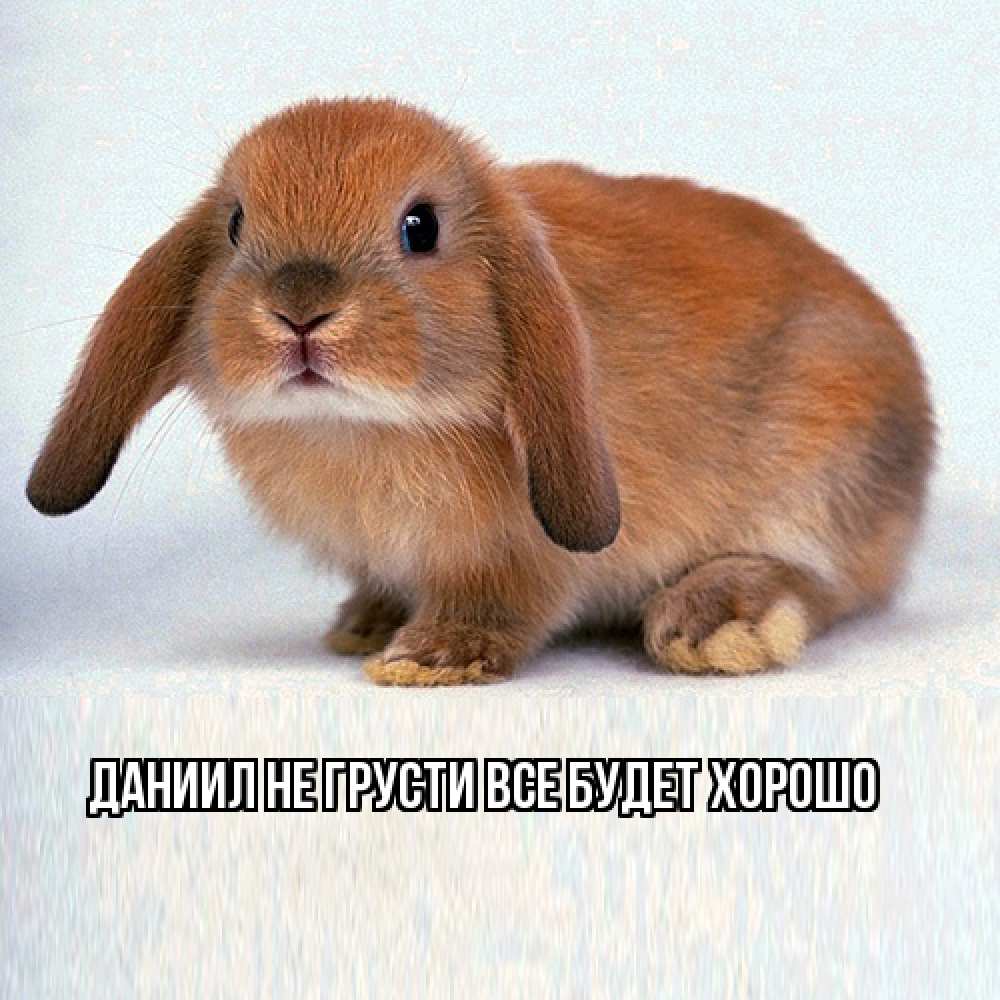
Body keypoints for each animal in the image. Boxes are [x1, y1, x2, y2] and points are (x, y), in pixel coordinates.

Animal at [26, 97, 934, 685]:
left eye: (420, 227)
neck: (360, 427)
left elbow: (506, 604)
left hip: (822, 471)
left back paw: (714, 624)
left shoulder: (518, 557)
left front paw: (429, 659)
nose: (300, 311)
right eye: (237, 224)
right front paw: (367, 626)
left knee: (824, 582)